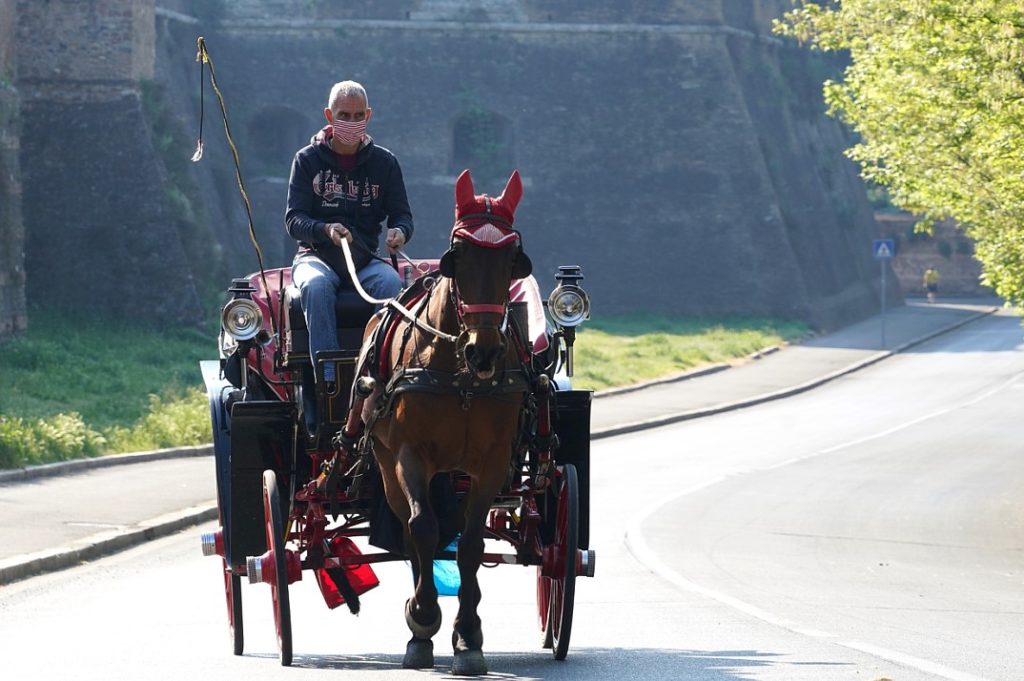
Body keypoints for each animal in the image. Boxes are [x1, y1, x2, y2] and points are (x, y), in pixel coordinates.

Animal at [352, 166, 532, 671]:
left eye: (512, 259)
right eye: (459, 255)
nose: (484, 351)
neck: (461, 376)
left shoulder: (491, 462)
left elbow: (470, 544)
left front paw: (468, 635)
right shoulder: (409, 455)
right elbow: (424, 530)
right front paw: (424, 618)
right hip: (389, 463)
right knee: (411, 532)